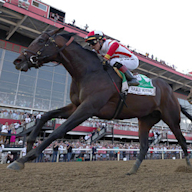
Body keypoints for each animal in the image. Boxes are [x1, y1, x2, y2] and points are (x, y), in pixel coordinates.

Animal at [8, 28, 192, 174]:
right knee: (144, 145)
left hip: (171, 118)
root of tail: (171, 91)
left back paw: (188, 166)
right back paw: (133, 170)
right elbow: (46, 115)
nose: (18, 61)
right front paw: (29, 144)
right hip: (145, 119)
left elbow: (59, 130)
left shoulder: (89, 107)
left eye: (40, 40)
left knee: (182, 140)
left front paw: (23, 159)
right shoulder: (76, 105)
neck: (88, 72)